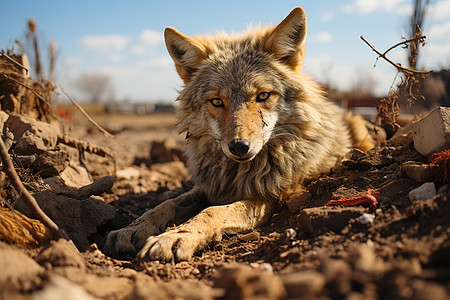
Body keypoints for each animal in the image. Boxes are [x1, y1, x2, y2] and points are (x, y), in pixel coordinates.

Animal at [103, 5, 374, 262]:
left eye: (262, 95)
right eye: (216, 101)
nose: (239, 147)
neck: (239, 172)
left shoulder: (267, 198)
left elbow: (211, 212)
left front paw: (175, 237)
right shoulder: (214, 187)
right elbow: (164, 205)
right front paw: (133, 228)